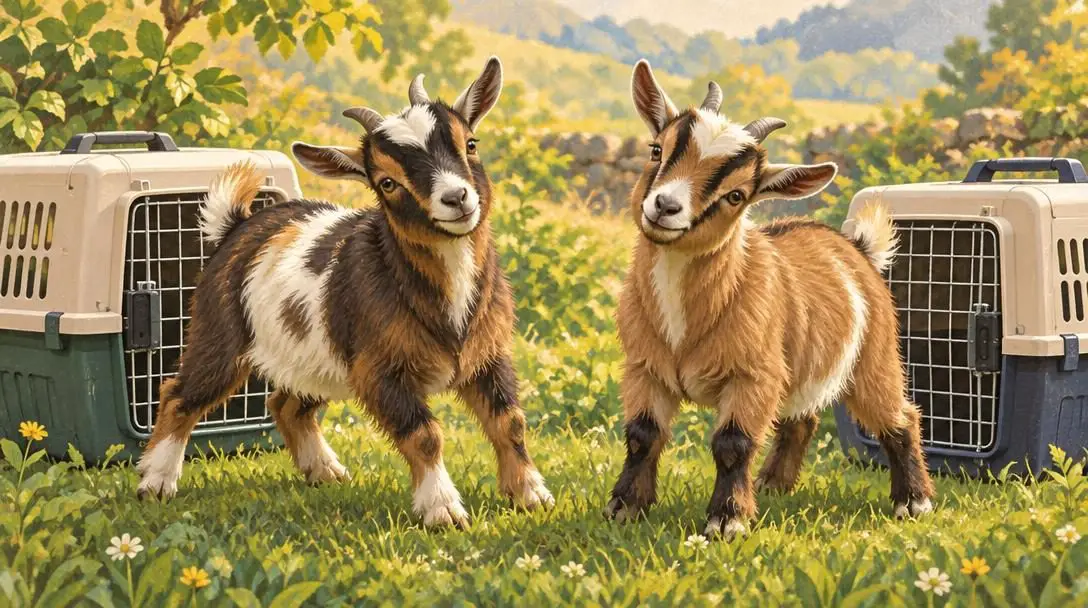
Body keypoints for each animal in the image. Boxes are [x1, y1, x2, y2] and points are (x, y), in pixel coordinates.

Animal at [135, 57, 553, 528]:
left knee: (285, 403)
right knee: (179, 394)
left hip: (315, 358)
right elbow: (425, 435)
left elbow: (510, 422)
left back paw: (324, 470)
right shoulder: (380, 370)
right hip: (220, 336)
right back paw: (156, 480)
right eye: (387, 182)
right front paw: (443, 509)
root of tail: (238, 225)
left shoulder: (488, 355)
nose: (456, 198)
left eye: (471, 143)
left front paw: (531, 494)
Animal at [604, 60, 935, 539]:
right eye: (655, 151)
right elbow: (642, 434)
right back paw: (774, 485)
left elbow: (733, 443)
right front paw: (625, 507)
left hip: (874, 359)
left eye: (736, 195)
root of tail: (857, 249)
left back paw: (914, 501)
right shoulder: (645, 367)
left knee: (899, 416)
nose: (665, 206)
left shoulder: (754, 374)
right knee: (803, 418)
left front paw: (727, 521)